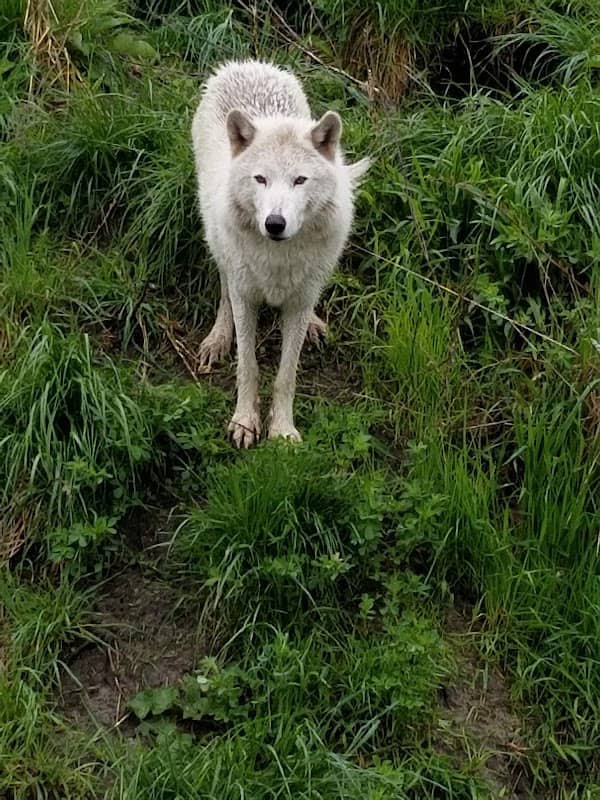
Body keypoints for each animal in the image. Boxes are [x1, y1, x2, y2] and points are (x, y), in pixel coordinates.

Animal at [191, 60, 370, 448]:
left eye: (300, 180)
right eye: (260, 179)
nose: (275, 223)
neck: (278, 258)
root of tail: (248, 63)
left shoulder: (298, 303)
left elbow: (287, 375)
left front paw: (283, 431)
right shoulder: (246, 297)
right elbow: (248, 367)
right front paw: (245, 422)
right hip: (216, 236)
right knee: (224, 286)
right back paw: (218, 337)